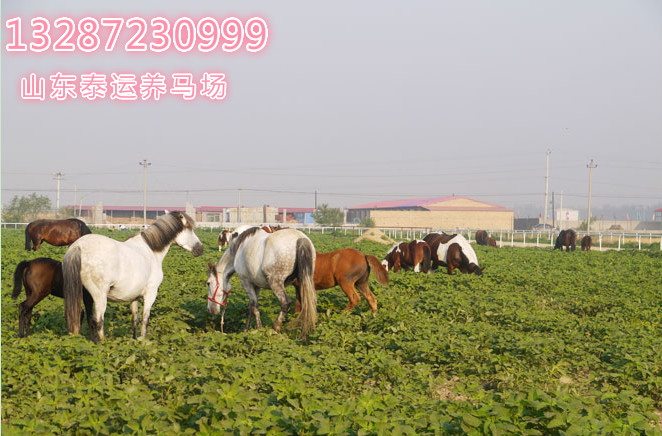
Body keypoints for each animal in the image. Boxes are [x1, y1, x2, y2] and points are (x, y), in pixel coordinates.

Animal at [65, 211, 205, 340]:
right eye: (189, 229)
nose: (200, 249)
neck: (151, 250)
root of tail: (79, 246)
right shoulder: (151, 293)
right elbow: (145, 319)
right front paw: (143, 340)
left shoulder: (134, 296)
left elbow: (135, 320)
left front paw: (135, 340)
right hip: (99, 296)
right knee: (98, 321)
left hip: (86, 296)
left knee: (89, 320)